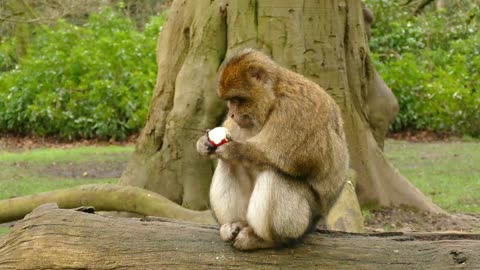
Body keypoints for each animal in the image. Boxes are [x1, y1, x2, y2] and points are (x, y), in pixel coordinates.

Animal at [195, 49, 348, 251]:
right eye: (230, 102)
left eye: (236, 100)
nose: (233, 114)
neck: (274, 96)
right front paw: (203, 143)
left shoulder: (294, 110)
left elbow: (281, 157)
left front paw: (233, 150)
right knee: (230, 165)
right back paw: (235, 224)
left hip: (303, 222)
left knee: (275, 174)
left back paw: (266, 240)